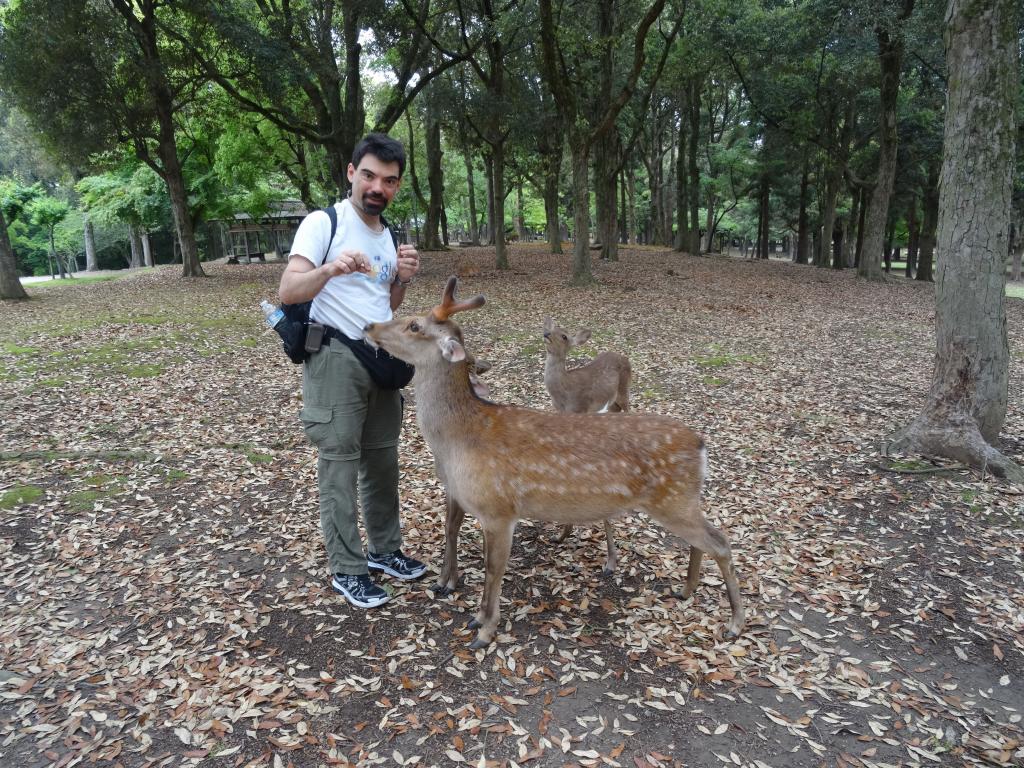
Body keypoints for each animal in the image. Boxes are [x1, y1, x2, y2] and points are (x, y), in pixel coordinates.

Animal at [544, 315, 630, 573]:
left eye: (564, 336)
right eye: (551, 328)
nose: (545, 334)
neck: (563, 397)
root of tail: (623, 356)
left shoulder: (581, 410)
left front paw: (611, 561)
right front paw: (560, 535)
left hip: (625, 390)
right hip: (611, 403)